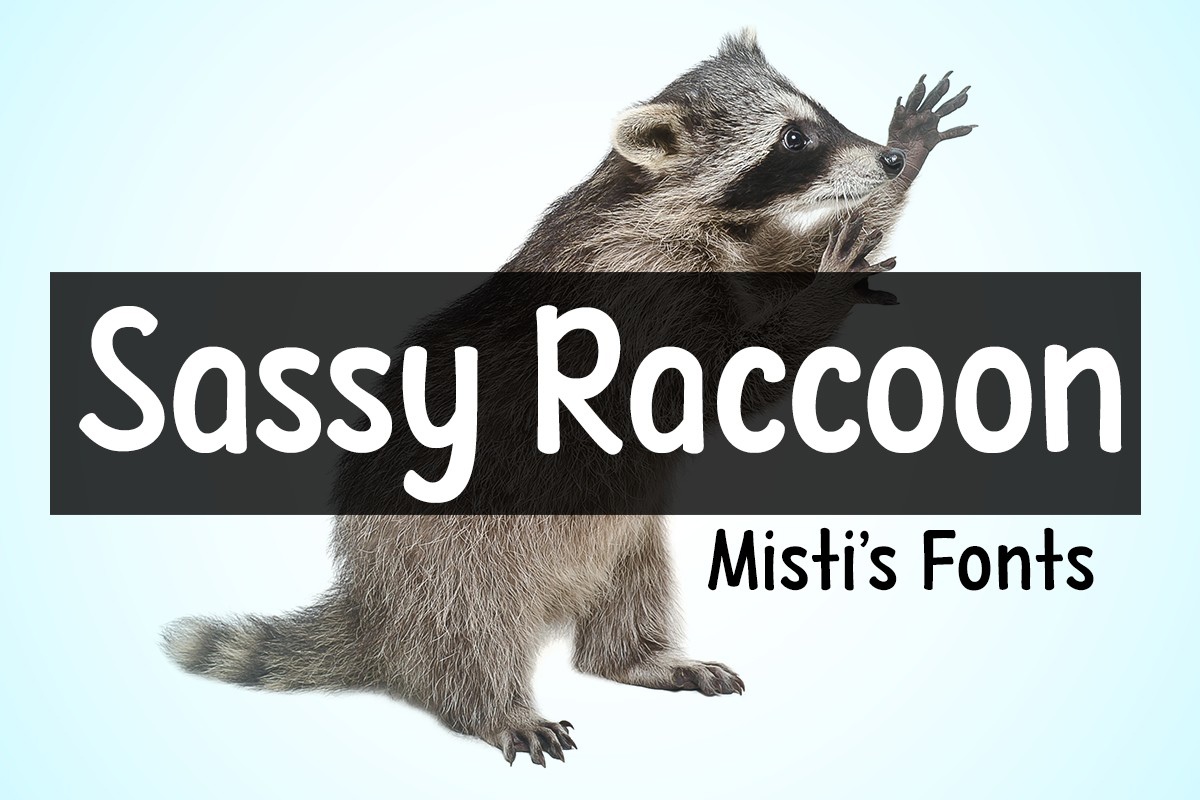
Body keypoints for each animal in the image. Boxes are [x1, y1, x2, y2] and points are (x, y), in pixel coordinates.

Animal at [163, 29, 973, 765]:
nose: (884, 160)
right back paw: (493, 705)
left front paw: (894, 176)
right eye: (792, 138)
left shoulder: (738, 247)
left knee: (632, 583)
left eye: (820, 113)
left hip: (622, 527)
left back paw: (637, 655)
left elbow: (781, 270)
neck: (679, 208)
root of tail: (376, 602)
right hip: (451, 544)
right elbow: (723, 377)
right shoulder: (636, 292)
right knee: (469, 627)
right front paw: (834, 276)